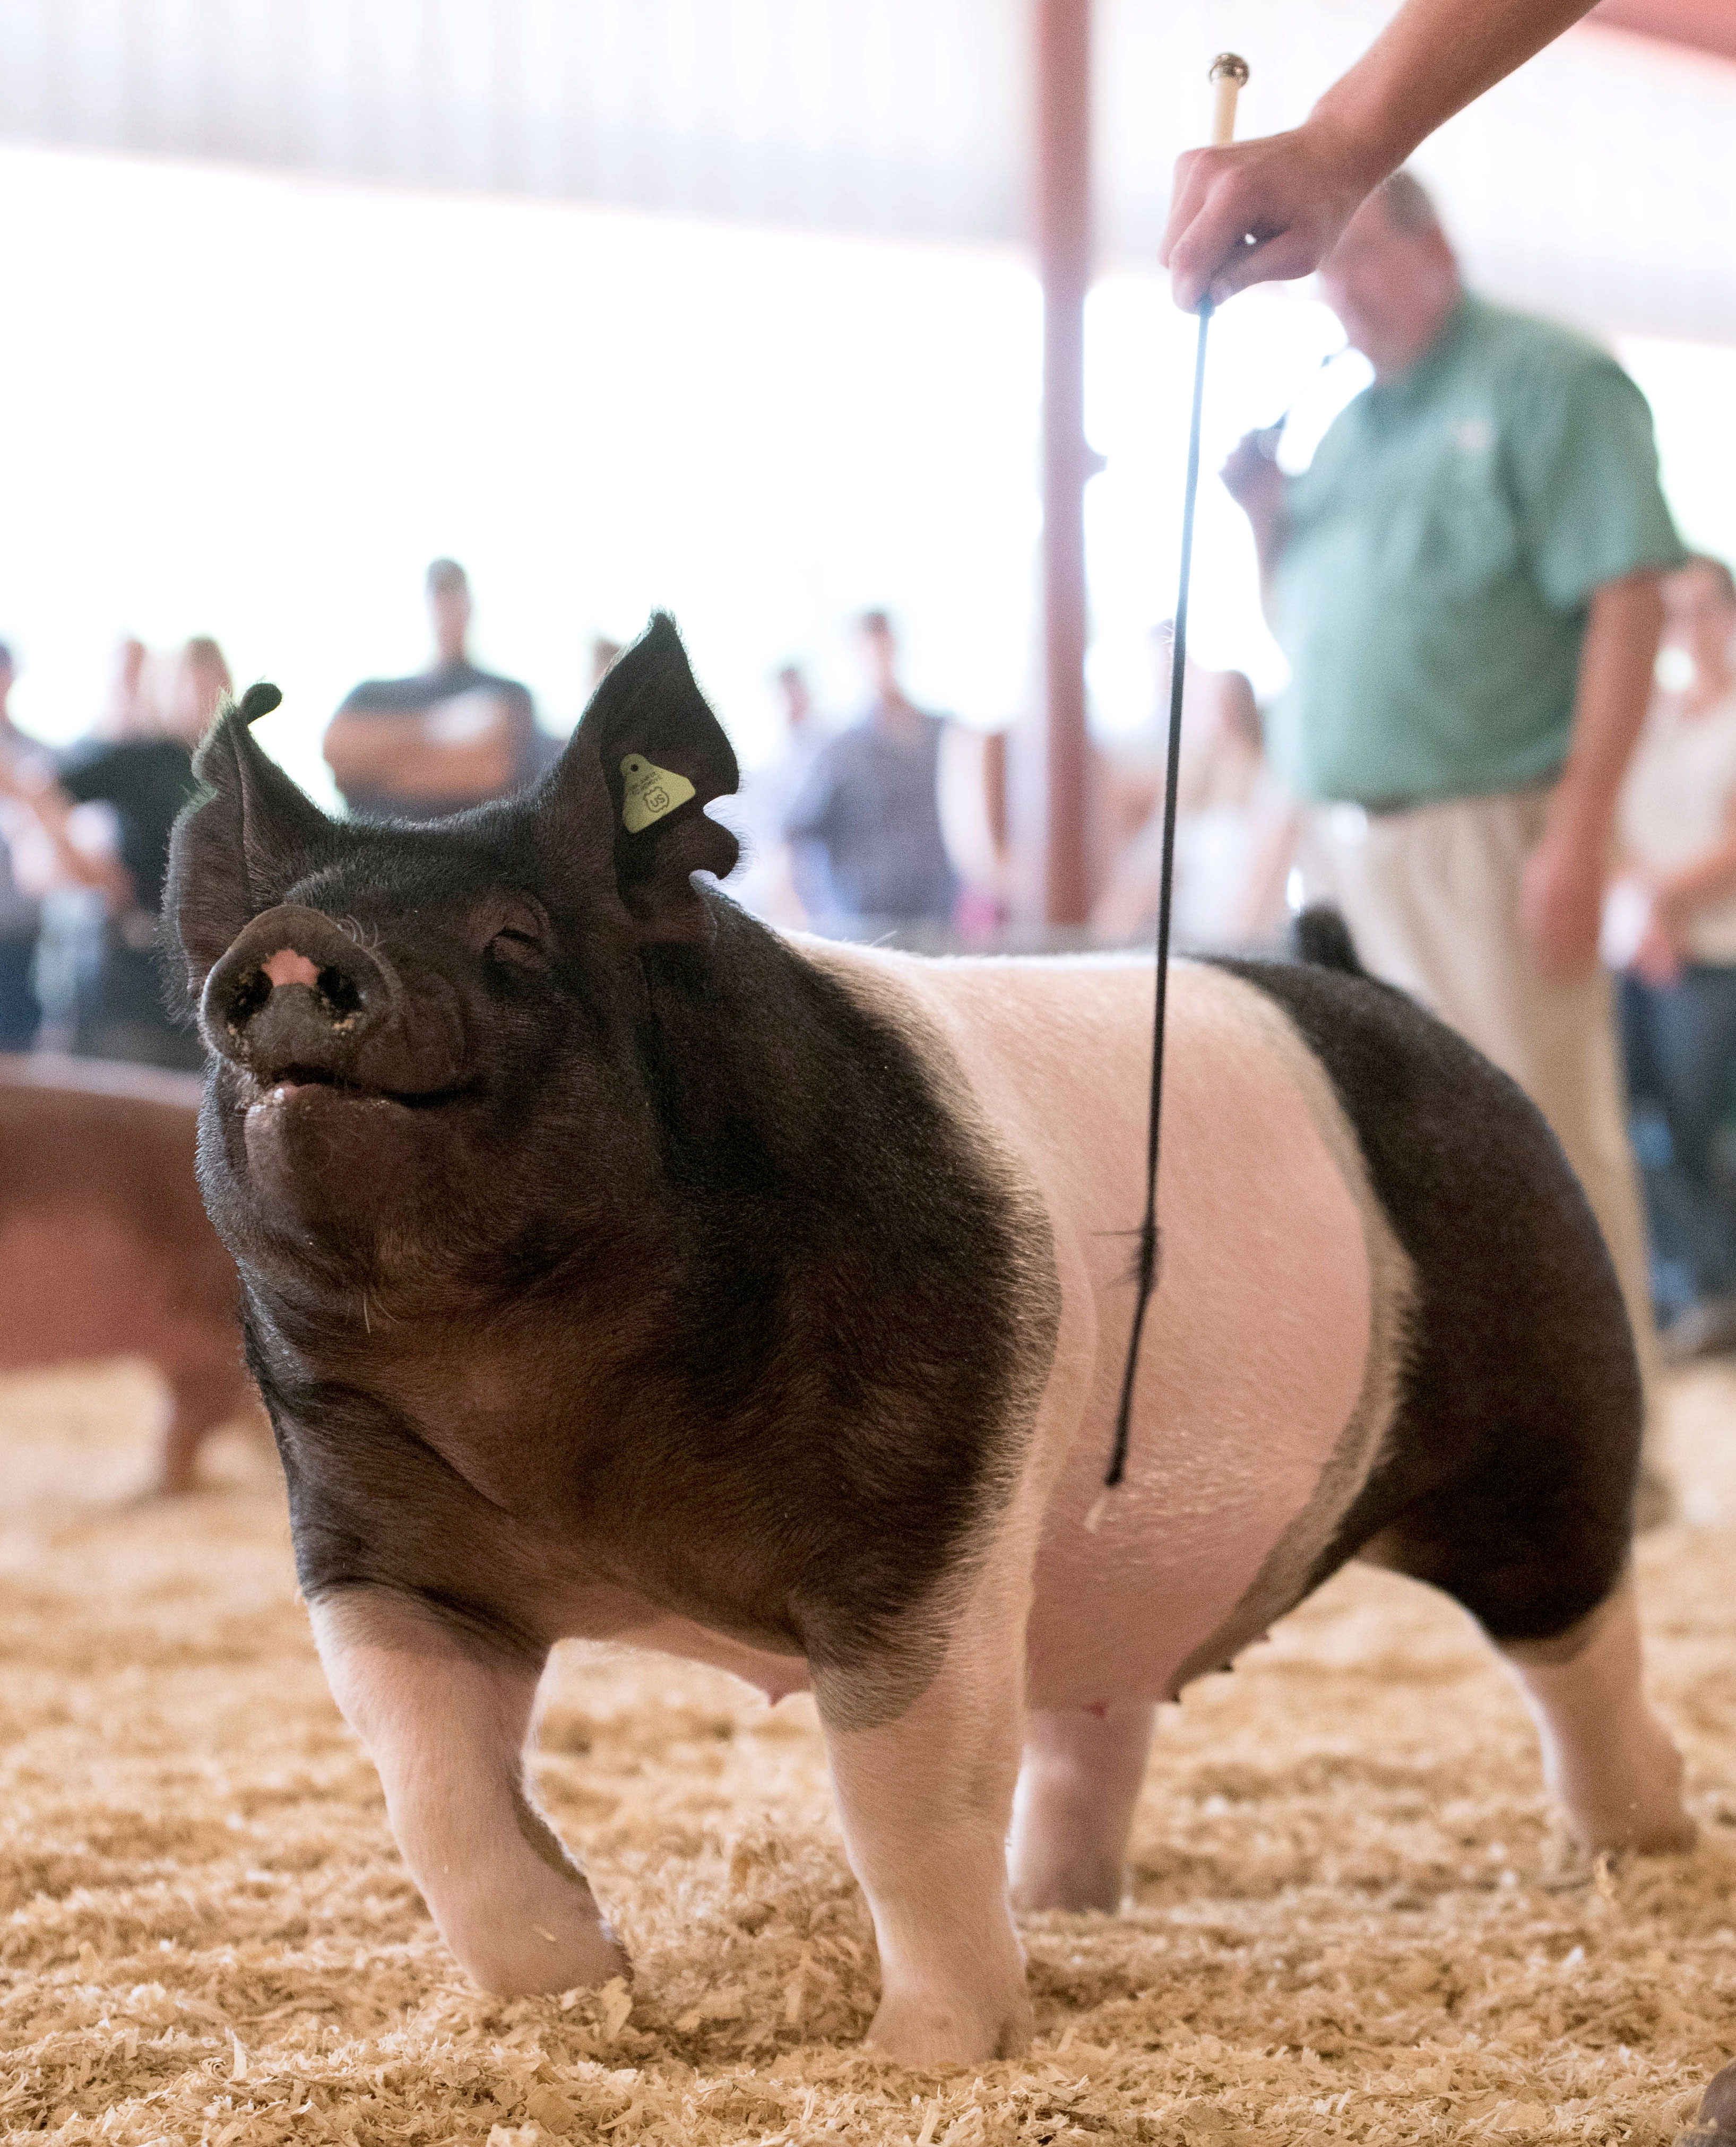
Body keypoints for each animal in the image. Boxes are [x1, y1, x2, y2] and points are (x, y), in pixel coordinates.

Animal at [166, 618, 1693, 2061]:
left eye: (514, 939)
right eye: (282, 918)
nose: (291, 948)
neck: (549, 1425)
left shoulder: (924, 1523)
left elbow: (904, 1799)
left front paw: (925, 2058)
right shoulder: (376, 1547)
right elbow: (431, 1792)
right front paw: (574, 1984)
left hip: (1547, 1420)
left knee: (1580, 1642)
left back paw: (1639, 1850)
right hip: (1109, 1559)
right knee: (1098, 1718)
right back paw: (1069, 1902)